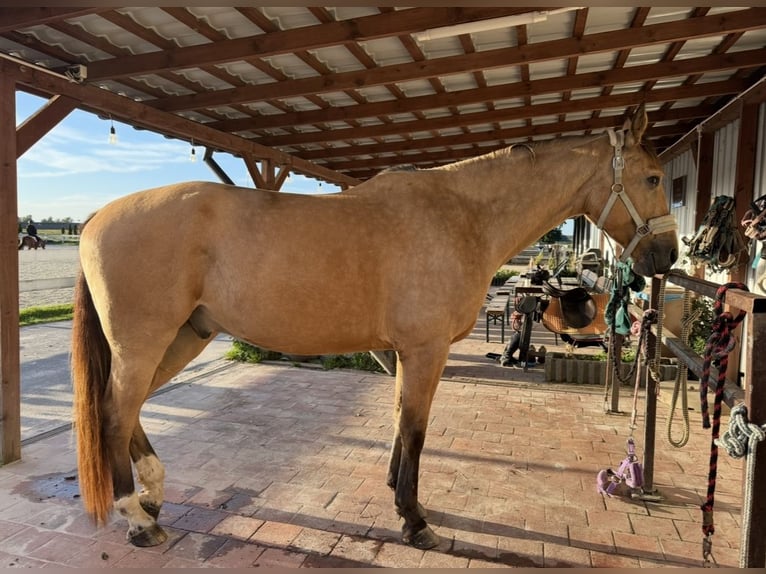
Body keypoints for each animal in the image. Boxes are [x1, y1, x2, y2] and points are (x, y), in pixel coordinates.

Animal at [71, 104, 678, 549]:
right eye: (652, 177)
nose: (668, 256)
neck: (461, 215)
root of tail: (96, 217)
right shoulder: (425, 350)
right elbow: (415, 429)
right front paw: (414, 519)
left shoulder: (404, 352)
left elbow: (397, 422)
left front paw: (398, 495)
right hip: (145, 342)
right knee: (114, 412)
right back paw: (137, 518)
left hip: (183, 337)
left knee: (128, 411)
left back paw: (152, 495)